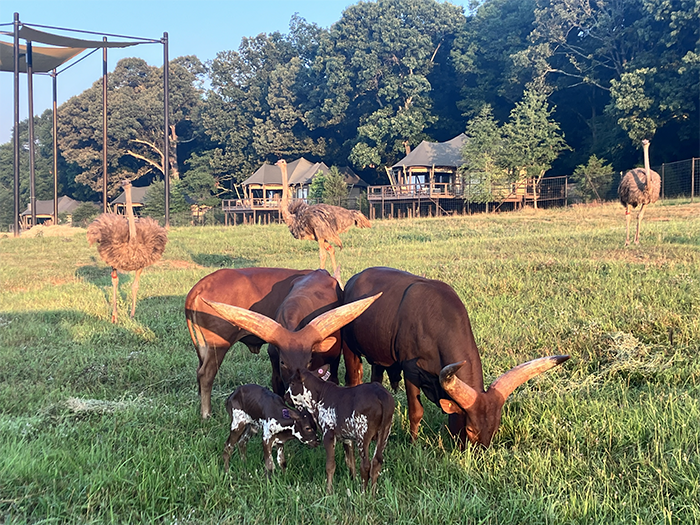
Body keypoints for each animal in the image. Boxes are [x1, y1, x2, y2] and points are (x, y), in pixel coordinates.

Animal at [185, 267, 312, 419]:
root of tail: (201, 285)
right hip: (218, 346)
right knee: (205, 375)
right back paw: (206, 414)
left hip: (204, 346)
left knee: (199, 371)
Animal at [287, 365, 394, 494]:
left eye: (292, 383)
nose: (285, 396)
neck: (318, 398)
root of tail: (379, 392)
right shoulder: (347, 437)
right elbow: (350, 462)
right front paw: (353, 481)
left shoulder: (328, 434)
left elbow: (330, 465)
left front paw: (328, 491)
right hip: (385, 431)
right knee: (376, 462)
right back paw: (372, 494)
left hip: (363, 433)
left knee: (365, 465)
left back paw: (363, 494)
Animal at [342, 267, 569, 449]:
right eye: (470, 430)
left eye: (495, 429)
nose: (478, 455)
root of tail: (355, 278)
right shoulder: (411, 371)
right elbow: (416, 411)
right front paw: (413, 444)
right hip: (350, 349)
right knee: (355, 379)